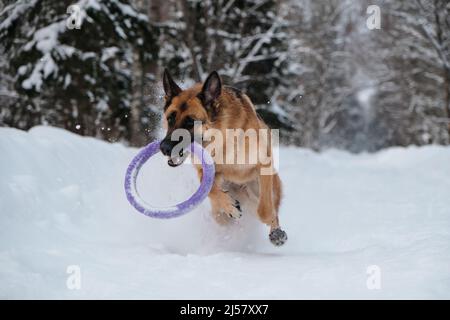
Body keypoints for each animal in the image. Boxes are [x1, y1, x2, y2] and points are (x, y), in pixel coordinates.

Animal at [160, 69, 286, 246]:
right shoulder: (205, 172)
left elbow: (265, 210)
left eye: (190, 122)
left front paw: (273, 227)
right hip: (218, 212)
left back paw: (276, 231)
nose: (163, 148)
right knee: (220, 216)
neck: (222, 139)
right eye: (170, 118)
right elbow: (211, 189)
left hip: (260, 186)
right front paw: (230, 206)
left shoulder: (264, 165)